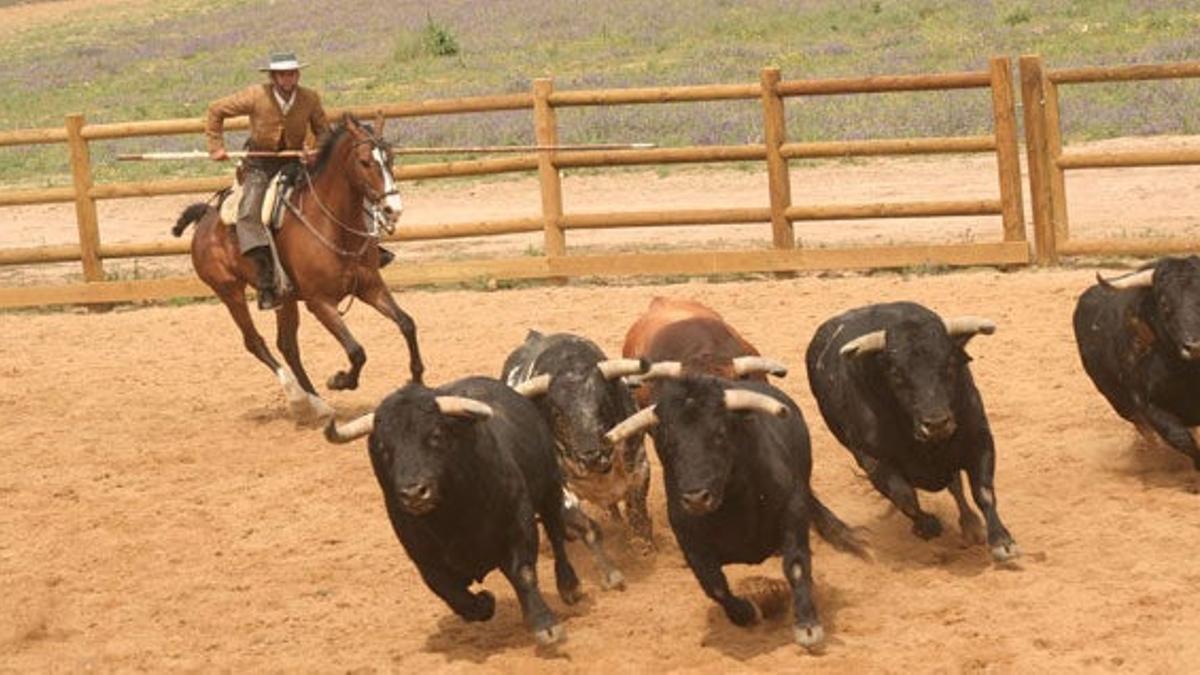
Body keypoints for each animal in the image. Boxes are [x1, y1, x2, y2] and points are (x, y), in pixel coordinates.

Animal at [174, 114, 424, 417]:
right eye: (365, 161)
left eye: (390, 158)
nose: (392, 209)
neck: (331, 225)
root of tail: (205, 219)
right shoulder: (320, 303)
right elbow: (356, 351)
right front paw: (340, 380)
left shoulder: (371, 287)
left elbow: (407, 323)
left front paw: (416, 379)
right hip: (229, 292)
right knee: (255, 342)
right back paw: (297, 396)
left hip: (286, 298)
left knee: (287, 345)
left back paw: (316, 403)